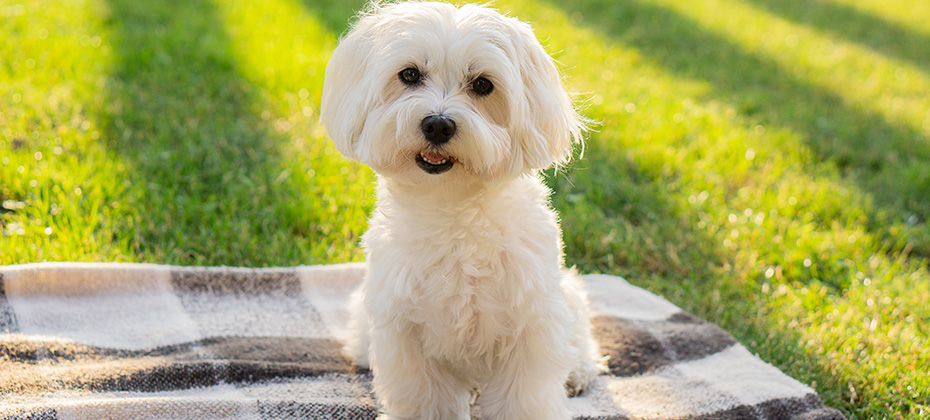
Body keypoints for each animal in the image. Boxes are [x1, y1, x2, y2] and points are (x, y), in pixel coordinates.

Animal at [322, 1, 604, 418]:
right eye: (409, 75)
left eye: (483, 85)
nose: (438, 125)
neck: (452, 209)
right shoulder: (404, 328)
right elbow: (425, 398)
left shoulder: (531, 322)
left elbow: (524, 397)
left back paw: (578, 370)